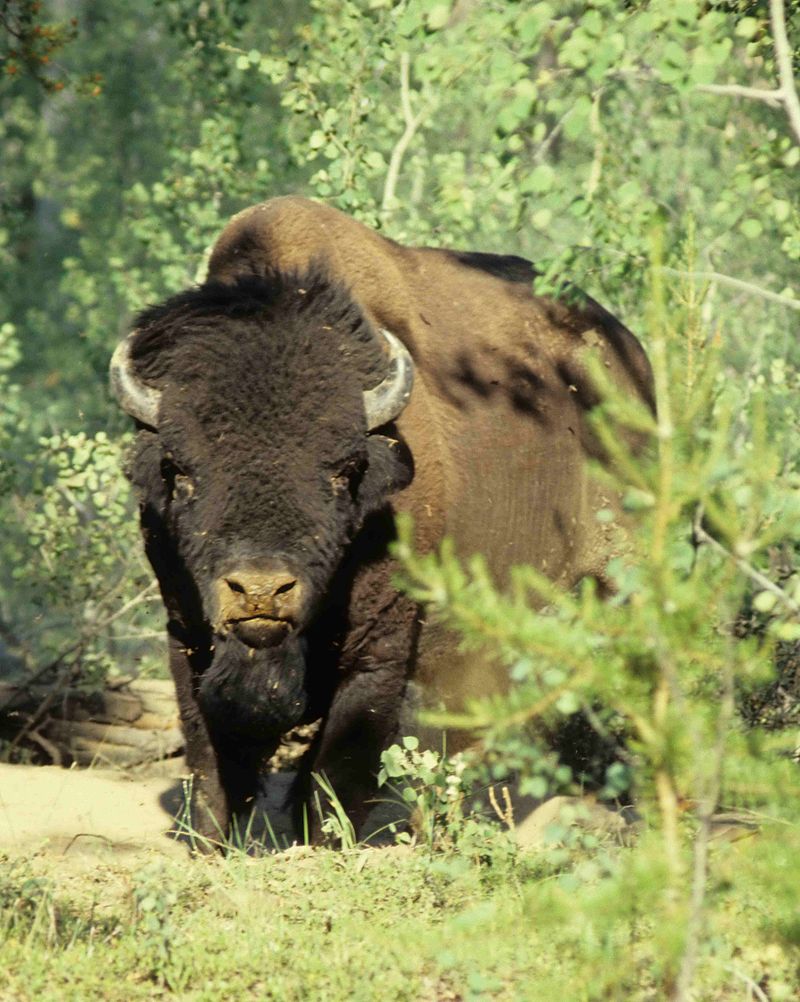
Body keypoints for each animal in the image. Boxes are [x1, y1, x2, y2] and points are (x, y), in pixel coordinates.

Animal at [109, 191, 653, 841]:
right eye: (179, 468)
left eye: (343, 470)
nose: (261, 592)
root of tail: (630, 360)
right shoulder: (185, 633)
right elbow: (209, 753)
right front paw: (211, 841)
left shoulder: (382, 644)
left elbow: (341, 760)